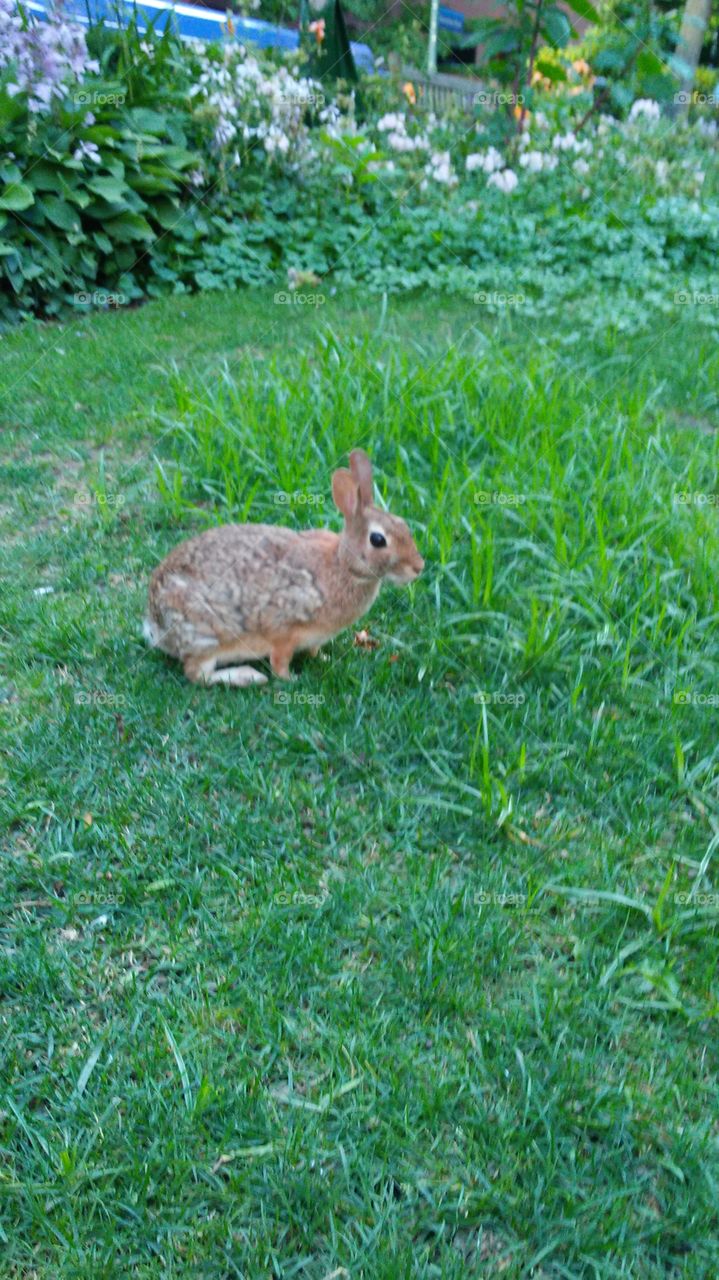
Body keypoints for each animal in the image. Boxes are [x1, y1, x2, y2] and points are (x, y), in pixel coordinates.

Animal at [144, 449, 424, 687]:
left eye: (403, 524)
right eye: (378, 540)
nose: (418, 567)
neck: (343, 565)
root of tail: (155, 623)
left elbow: (314, 650)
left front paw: (322, 658)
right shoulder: (284, 630)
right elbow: (279, 661)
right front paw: (291, 679)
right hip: (207, 636)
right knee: (197, 674)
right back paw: (249, 677)